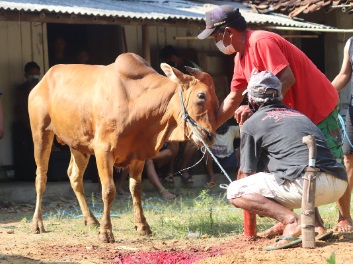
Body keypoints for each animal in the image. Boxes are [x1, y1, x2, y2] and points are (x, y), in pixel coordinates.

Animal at [28, 52, 220, 242]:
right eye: (201, 96)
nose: (209, 136)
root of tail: (42, 81)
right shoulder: (103, 151)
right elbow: (108, 190)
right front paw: (106, 232)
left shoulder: (138, 155)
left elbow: (136, 189)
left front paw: (142, 226)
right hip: (41, 133)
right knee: (41, 177)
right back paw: (37, 223)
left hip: (78, 145)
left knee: (75, 177)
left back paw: (91, 219)